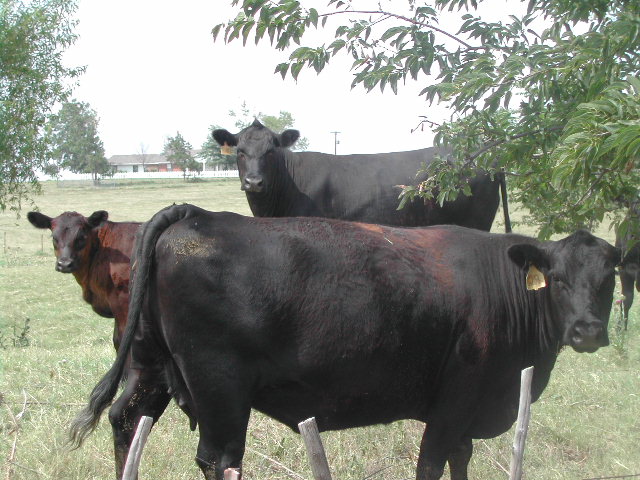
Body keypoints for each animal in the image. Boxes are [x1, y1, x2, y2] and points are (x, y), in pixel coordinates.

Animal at [72, 203, 616, 480]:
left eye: (610, 278)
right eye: (557, 279)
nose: (587, 330)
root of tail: (192, 214)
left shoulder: (468, 410)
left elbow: (459, 460)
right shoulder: (454, 402)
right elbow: (431, 463)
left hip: (149, 365)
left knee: (126, 422)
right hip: (219, 387)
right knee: (219, 458)